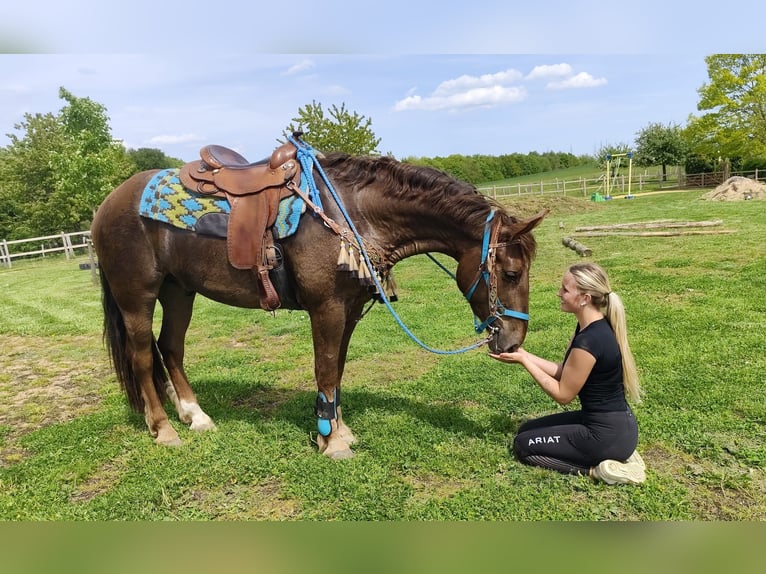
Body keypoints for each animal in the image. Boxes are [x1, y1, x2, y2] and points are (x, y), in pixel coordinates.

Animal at [91, 149, 546, 459]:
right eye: (511, 273)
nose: (512, 340)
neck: (353, 215)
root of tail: (107, 204)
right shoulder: (326, 308)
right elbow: (325, 369)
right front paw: (332, 443)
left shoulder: (347, 311)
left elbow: (337, 371)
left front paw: (338, 430)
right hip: (137, 296)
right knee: (142, 357)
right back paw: (164, 429)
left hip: (178, 291)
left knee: (171, 348)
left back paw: (195, 416)